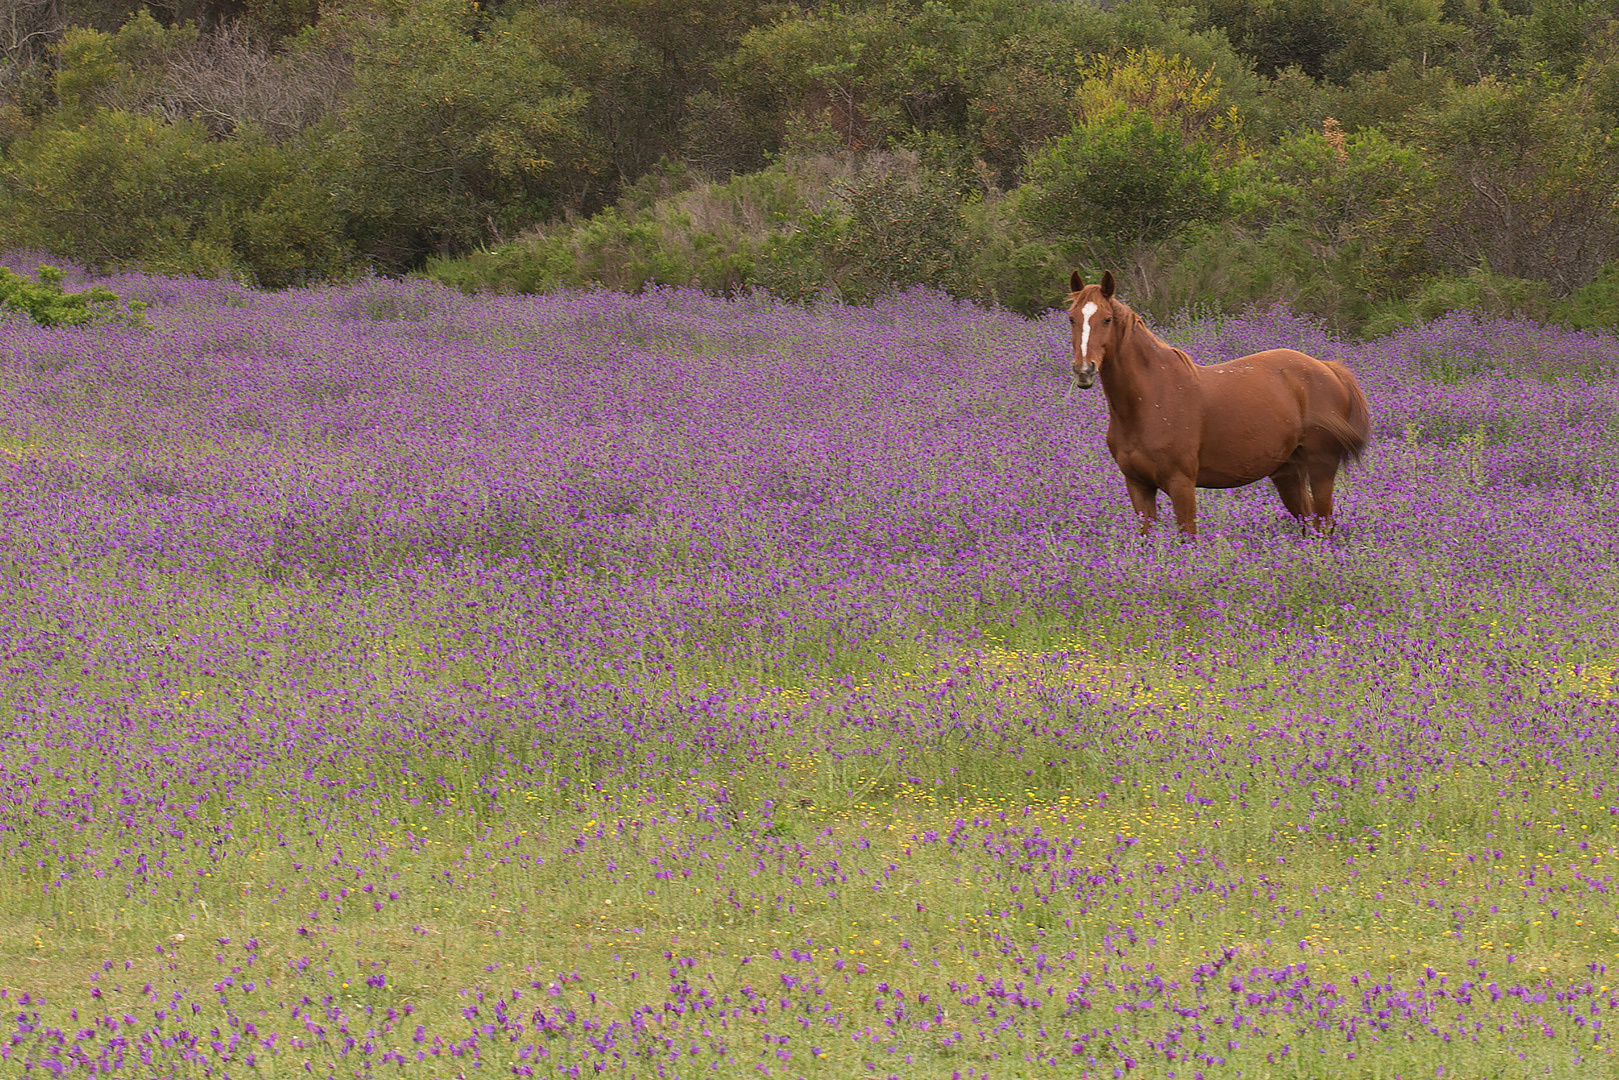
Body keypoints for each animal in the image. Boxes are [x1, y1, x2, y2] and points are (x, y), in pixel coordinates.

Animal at [1068, 275, 1372, 537]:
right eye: (1071, 318)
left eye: (1106, 319)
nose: (1084, 370)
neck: (1150, 399)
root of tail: (1329, 368)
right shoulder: (1138, 485)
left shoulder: (1181, 484)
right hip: (1288, 472)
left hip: (1321, 468)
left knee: (1323, 524)